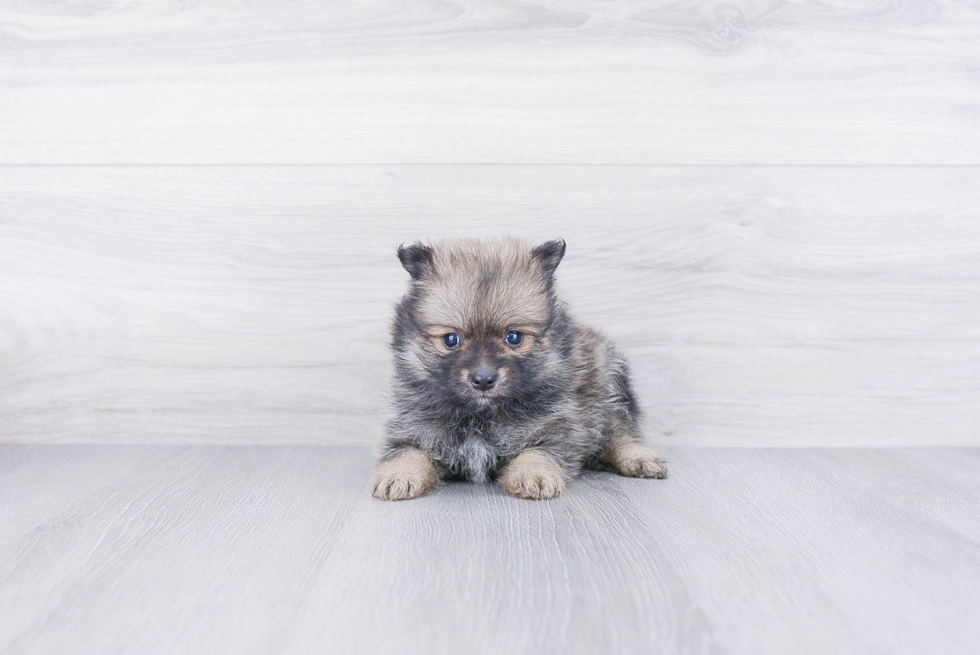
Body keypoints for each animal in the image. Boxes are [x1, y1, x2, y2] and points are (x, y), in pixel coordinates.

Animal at [372, 238, 668, 500]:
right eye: (451, 340)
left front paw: (533, 474)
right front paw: (398, 475)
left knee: (620, 434)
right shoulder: (415, 429)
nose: (483, 380)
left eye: (513, 337)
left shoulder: (552, 428)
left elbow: (536, 452)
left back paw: (639, 458)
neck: (480, 416)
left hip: (609, 388)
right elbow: (407, 452)